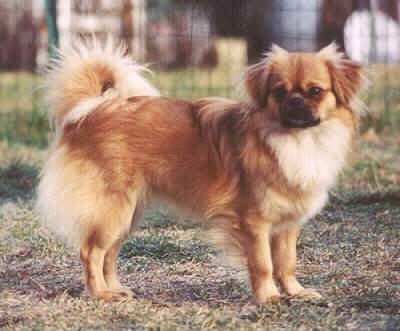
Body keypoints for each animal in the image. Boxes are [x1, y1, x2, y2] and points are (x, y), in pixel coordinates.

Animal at [36, 39, 364, 304]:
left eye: (316, 92)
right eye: (279, 92)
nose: (295, 101)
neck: (297, 140)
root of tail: (92, 110)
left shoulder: (287, 223)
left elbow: (287, 262)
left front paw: (296, 292)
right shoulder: (254, 222)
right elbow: (263, 264)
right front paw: (269, 297)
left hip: (126, 215)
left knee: (109, 254)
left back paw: (115, 289)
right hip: (112, 210)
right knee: (91, 252)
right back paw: (101, 294)